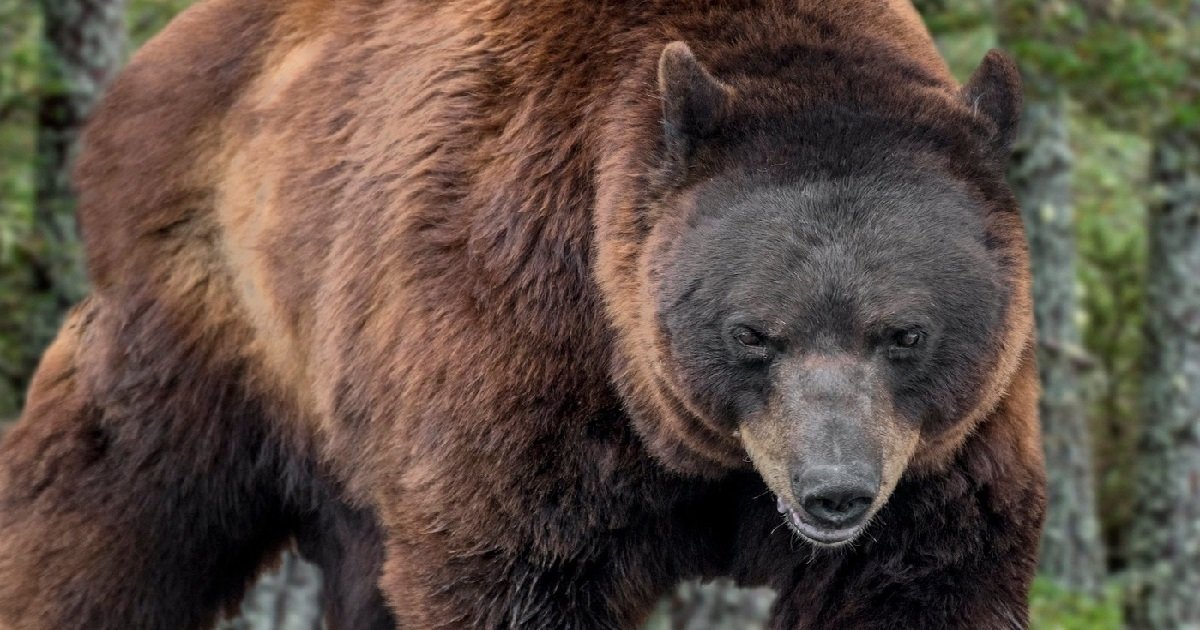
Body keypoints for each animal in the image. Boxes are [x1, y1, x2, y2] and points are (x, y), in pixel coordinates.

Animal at [0, 0, 1046, 624]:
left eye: (904, 333)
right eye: (753, 333)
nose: (835, 491)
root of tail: (150, 66)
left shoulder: (946, 455)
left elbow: (922, 574)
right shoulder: (518, 343)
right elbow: (509, 563)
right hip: (218, 323)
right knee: (108, 510)